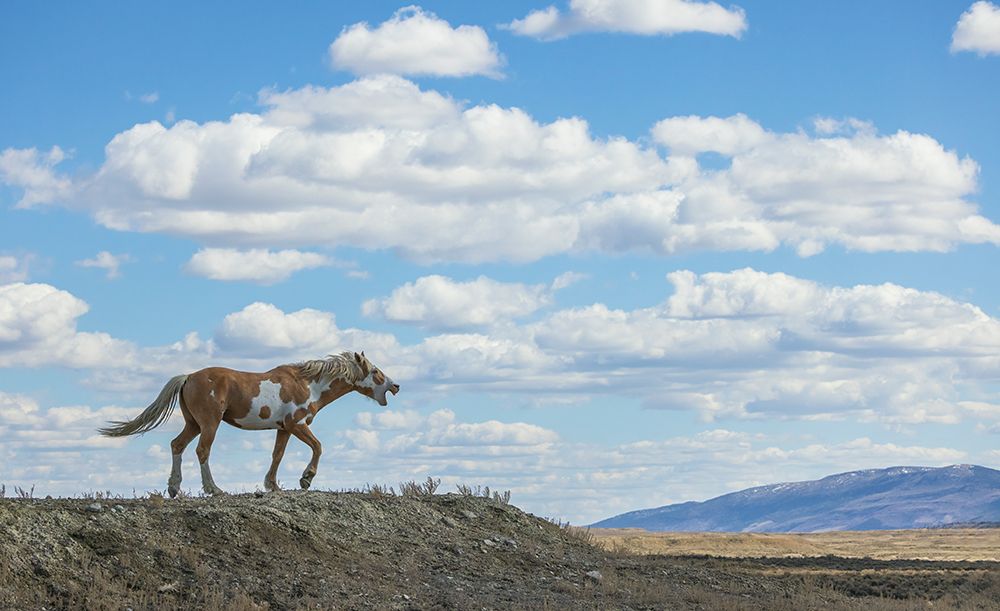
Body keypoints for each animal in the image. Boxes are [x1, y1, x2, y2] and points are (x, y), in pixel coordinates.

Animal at [99, 351, 399, 497]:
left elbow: (277, 455)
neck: (308, 384)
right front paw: (306, 478)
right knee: (202, 451)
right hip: (210, 423)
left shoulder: (283, 429)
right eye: (374, 371)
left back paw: (174, 488)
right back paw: (214, 489)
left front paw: (272, 485)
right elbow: (318, 447)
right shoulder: (296, 424)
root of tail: (189, 377)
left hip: (193, 424)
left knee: (177, 445)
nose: (395, 385)